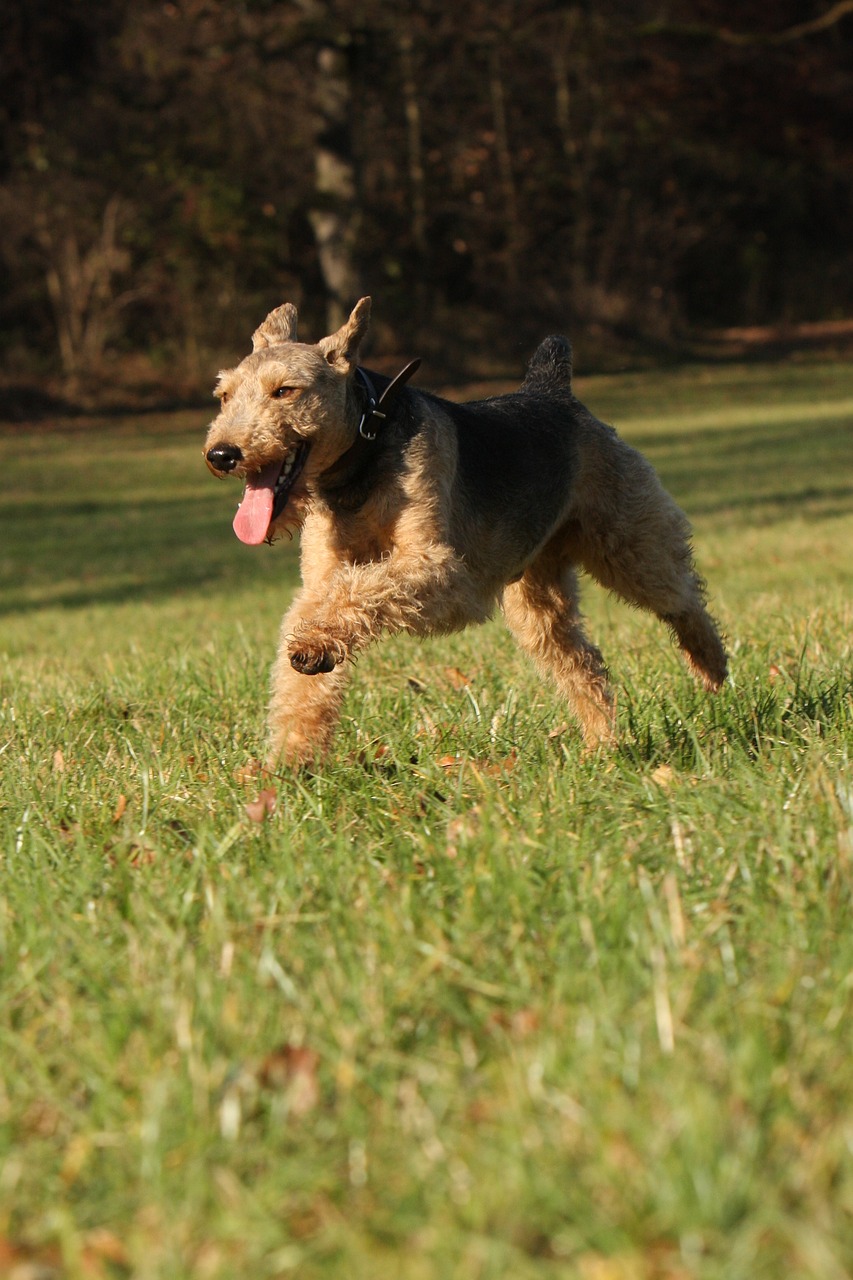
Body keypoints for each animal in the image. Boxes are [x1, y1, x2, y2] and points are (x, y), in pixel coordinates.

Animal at [204, 294, 722, 762]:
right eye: (224, 396)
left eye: (284, 391)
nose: (221, 454)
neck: (361, 458)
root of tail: (552, 391)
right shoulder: (319, 582)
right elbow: (307, 660)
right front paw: (289, 764)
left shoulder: (442, 571)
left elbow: (362, 590)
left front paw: (314, 645)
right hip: (537, 600)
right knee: (585, 664)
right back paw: (602, 745)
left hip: (628, 542)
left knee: (684, 598)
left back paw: (711, 667)